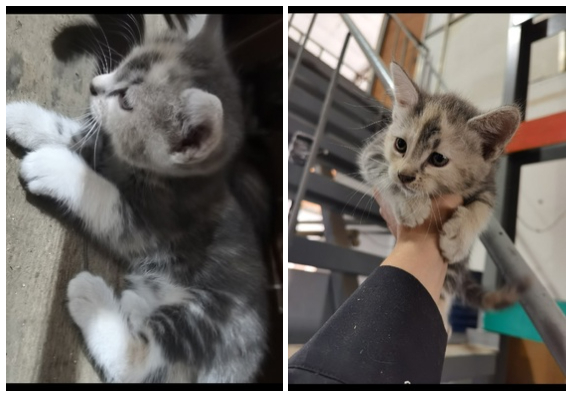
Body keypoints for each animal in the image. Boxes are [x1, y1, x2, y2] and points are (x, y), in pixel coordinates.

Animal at [6, 14, 268, 382]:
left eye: (126, 101)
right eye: (123, 65)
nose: (93, 85)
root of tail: (245, 364)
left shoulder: (152, 223)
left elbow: (99, 192)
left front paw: (52, 165)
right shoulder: (107, 151)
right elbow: (77, 135)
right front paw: (21, 117)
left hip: (201, 317)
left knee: (139, 364)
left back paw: (92, 298)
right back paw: (132, 304)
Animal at [358, 63, 524, 334]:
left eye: (438, 159)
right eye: (400, 145)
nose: (405, 175)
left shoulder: (487, 183)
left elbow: (483, 207)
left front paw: (458, 235)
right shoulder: (373, 151)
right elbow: (383, 172)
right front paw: (411, 203)